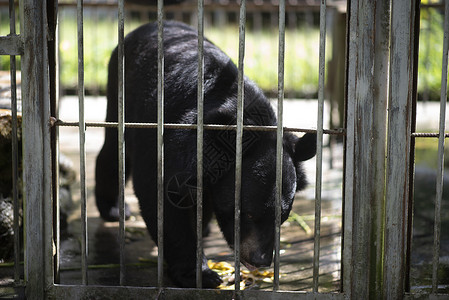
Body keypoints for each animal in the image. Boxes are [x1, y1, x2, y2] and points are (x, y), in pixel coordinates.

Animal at [95, 21, 316, 288]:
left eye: (282, 217)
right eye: (248, 213)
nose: (260, 260)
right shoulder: (169, 139)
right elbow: (162, 197)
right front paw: (200, 274)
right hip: (120, 93)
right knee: (113, 153)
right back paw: (113, 209)